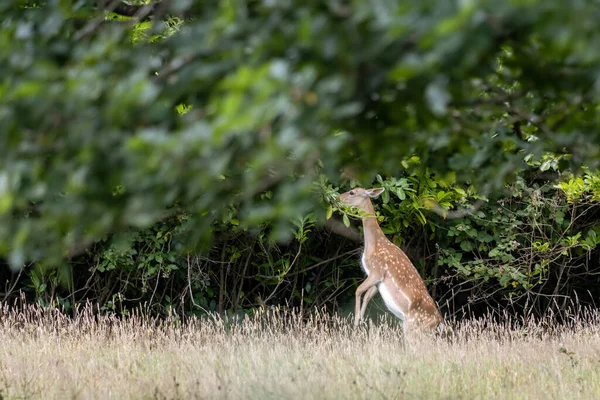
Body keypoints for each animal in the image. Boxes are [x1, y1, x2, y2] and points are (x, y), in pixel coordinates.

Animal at [340, 187, 442, 334]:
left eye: (352, 192)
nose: (337, 197)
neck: (374, 245)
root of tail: (439, 322)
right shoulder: (378, 280)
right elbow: (366, 295)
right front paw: (361, 322)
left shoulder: (377, 270)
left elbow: (358, 290)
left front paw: (355, 322)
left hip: (413, 326)